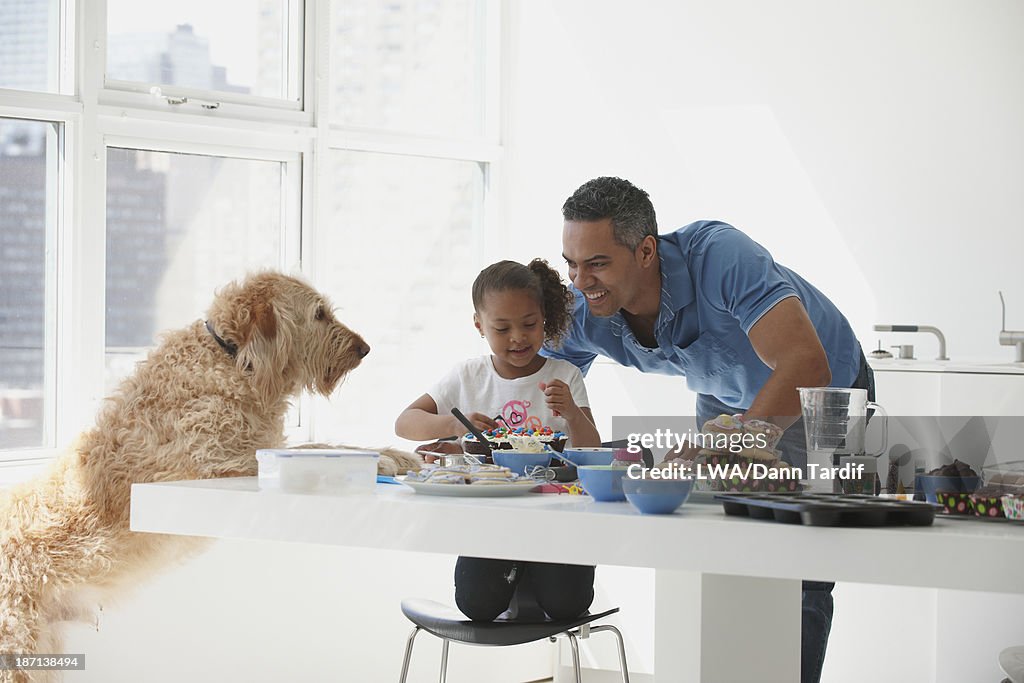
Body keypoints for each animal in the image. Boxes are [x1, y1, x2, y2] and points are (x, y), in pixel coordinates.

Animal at [0, 270, 407, 679]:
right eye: (319, 314)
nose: (365, 349)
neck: (230, 359)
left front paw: (396, 453)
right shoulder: (220, 463)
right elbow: (314, 451)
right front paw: (383, 459)